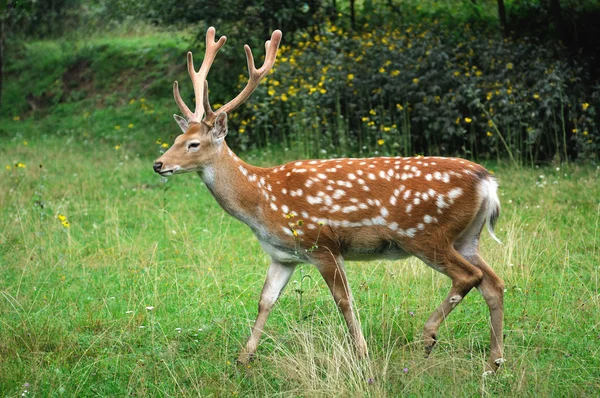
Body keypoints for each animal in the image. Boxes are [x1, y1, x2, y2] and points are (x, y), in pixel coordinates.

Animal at [154, 28, 506, 374]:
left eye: (193, 144)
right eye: (176, 138)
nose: (159, 164)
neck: (262, 201)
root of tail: (488, 183)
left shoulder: (322, 244)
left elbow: (344, 301)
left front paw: (362, 355)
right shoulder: (283, 255)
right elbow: (265, 300)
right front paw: (244, 358)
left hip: (424, 233)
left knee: (469, 277)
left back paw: (429, 336)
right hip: (466, 237)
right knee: (494, 283)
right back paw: (494, 362)